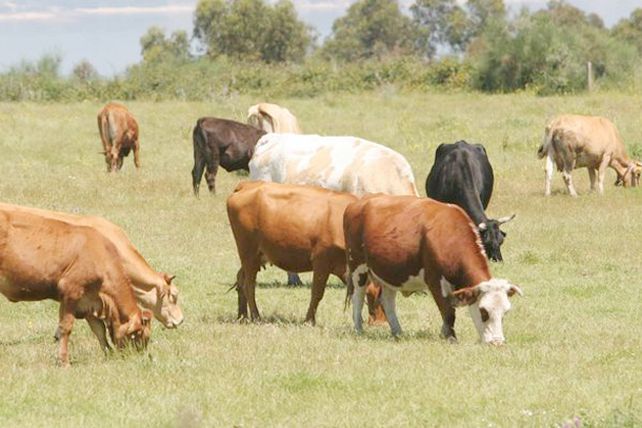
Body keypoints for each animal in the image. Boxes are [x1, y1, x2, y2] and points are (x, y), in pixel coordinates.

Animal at [0, 209, 152, 366]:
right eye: (139, 334)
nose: (138, 358)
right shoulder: (70, 292)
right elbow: (65, 327)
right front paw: (64, 361)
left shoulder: (89, 302)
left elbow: (99, 330)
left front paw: (108, 353)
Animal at [227, 181, 360, 324]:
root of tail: (246, 185)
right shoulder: (321, 261)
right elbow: (317, 293)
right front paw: (309, 321)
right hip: (248, 253)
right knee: (249, 286)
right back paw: (256, 317)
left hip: (255, 257)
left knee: (240, 279)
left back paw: (242, 316)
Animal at [344, 194, 523, 345]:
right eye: (483, 311)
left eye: (505, 313)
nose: (497, 343)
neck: (450, 234)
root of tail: (357, 203)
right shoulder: (436, 282)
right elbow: (448, 312)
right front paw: (450, 338)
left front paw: (445, 333)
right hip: (357, 267)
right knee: (358, 297)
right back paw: (359, 329)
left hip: (389, 273)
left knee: (387, 301)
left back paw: (398, 332)